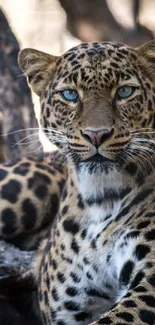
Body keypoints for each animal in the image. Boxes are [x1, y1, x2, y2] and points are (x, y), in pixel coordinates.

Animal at [14, 39, 155, 322]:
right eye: (70, 95)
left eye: (124, 92)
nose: (96, 135)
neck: (101, 198)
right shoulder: (70, 308)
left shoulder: (150, 283)